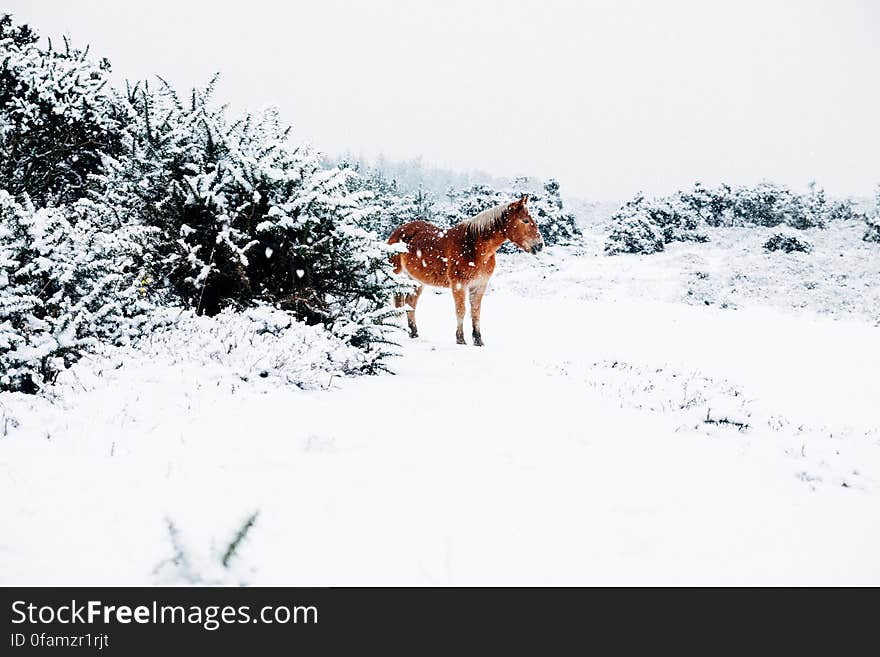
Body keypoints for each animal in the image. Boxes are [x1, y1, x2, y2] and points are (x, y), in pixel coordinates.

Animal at [390, 195, 544, 346]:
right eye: (525, 220)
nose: (540, 245)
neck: (474, 248)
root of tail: (398, 232)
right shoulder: (459, 285)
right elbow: (461, 311)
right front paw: (460, 339)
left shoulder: (480, 285)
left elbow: (476, 312)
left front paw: (478, 340)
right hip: (395, 275)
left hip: (416, 281)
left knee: (411, 303)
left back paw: (414, 333)